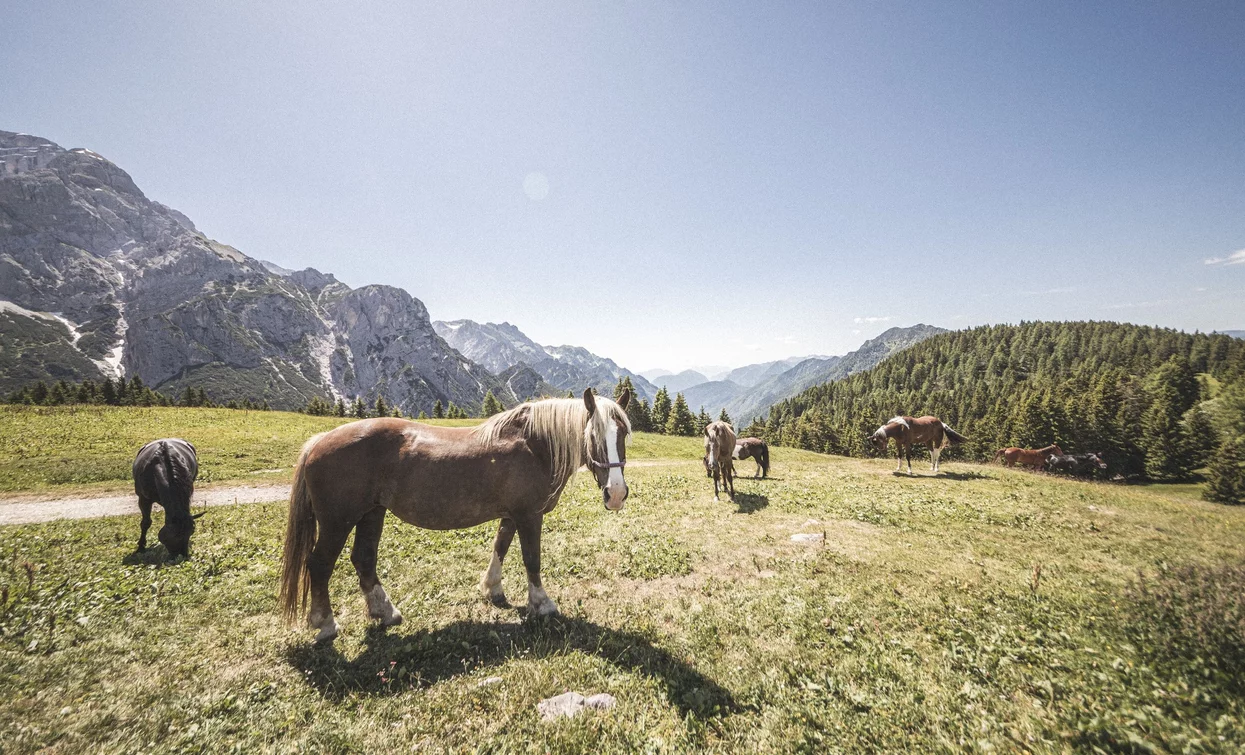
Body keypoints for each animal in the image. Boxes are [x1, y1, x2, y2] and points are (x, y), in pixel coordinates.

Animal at [279, 388, 631, 643]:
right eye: (594, 435)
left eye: (623, 434)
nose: (615, 494)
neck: (535, 445)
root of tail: (318, 442)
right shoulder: (529, 515)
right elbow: (532, 559)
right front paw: (542, 604)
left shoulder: (511, 515)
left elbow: (500, 547)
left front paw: (492, 588)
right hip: (337, 522)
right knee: (320, 564)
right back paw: (325, 623)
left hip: (371, 514)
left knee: (363, 559)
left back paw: (385, 611)